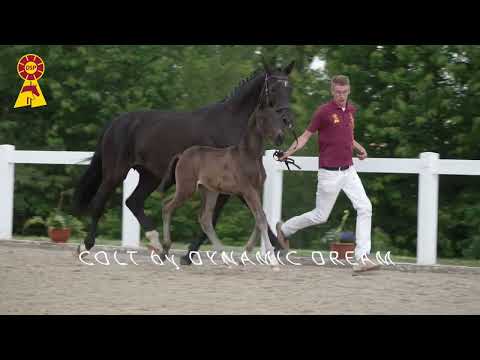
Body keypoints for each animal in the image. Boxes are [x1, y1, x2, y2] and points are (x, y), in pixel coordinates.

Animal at [73, 59, 294, 264]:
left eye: (289, 88)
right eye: (273, 88)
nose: (287, 121)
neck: (231, 123)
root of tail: (115, 122)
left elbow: (244, 215)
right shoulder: (232, 186)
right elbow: (227, 216)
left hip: (150, 176)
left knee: (133, 201)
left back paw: (156, 244)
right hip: (115, 172)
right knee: (99, 202)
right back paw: (85, 246)